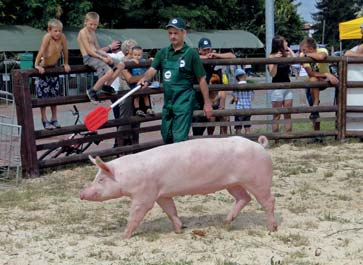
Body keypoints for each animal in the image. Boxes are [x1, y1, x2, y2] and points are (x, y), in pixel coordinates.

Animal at [80, 136, 278, 237]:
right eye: (95, 178)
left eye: (101, 180)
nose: (82, 193)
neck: (127, 176)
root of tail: (260, 145)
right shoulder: (162, 194)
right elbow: (170, 210)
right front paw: (178, 229)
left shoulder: (144, 194)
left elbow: (136, 214)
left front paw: (124, 236)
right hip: (233, 183)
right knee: (244, 198)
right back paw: (226, 222)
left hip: (258, 179)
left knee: (269, 200)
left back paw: (271, 229)